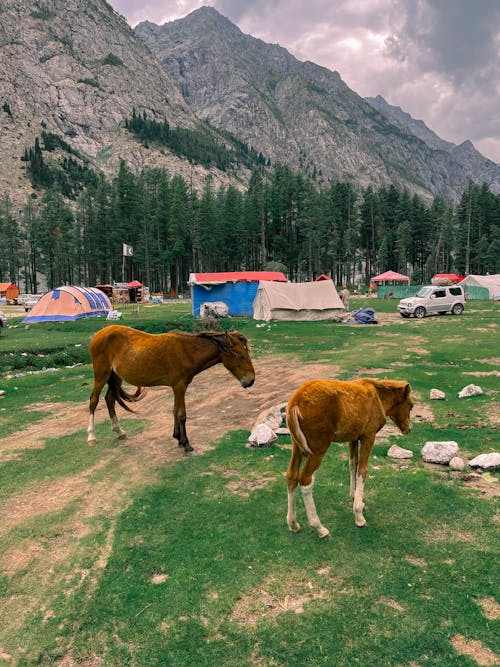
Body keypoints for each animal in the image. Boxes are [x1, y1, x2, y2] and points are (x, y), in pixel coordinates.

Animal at [86, 324, 256, 454]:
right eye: (240, 356)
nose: (250, 380)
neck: (187, 351)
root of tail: (98, 334)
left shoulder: (179, 387)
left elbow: (175, 410)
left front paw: (178, 438)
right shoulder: (179, 386)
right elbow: (181, 414)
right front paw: (186, 444)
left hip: (115, 377)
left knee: (110, 399)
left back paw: (120, 431)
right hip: (101, 375)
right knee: (94, 401)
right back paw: (91, 437)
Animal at [286, 380, 414, 536]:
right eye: (410, 406)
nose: (409, 428)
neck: (378, 397)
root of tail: (295, 402)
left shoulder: (353, 438)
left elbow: (353, 464)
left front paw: (354, 497)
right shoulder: (368, 436)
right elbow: (362, 470)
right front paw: (359, 515)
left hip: (297, 446)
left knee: (291, 476)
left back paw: (293, 524)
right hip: (318, 450)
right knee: (305, 480)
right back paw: (319, 527)